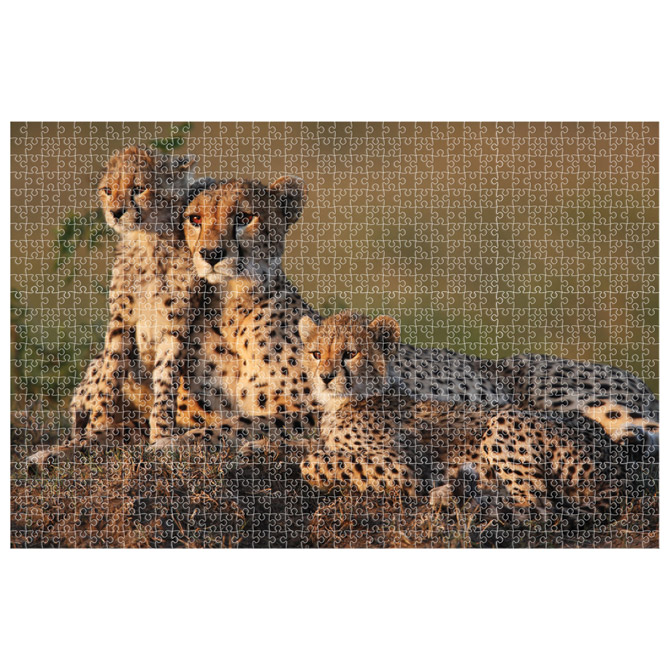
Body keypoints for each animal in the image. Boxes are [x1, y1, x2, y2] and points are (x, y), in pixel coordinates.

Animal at [298, 310, 626, 518]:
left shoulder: (403, 468)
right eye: (316, 354)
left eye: (350, 354)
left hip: (504, 423)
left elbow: (313, 462)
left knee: (537, 505)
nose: (325, 377)